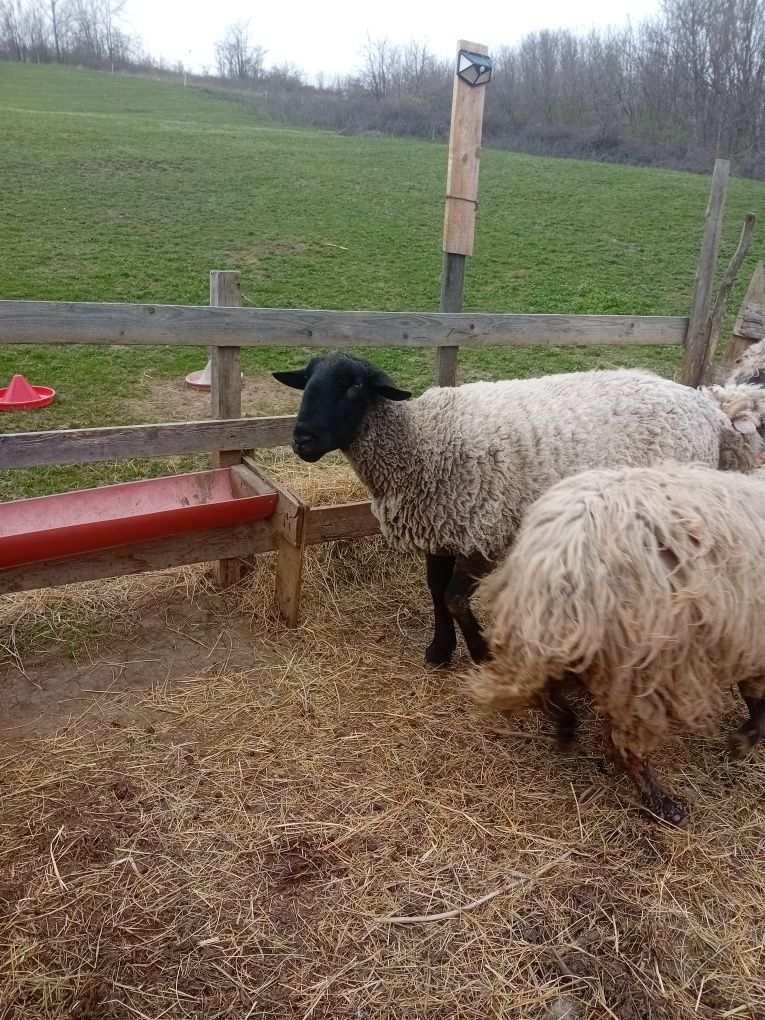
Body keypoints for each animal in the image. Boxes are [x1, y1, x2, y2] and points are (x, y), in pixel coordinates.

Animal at [467, 463, 765, 828]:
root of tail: (563, 549)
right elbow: (757, 697)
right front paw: (745, 741)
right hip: (639, 665)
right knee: (627, 745)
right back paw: (663, 803)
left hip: (559, 638)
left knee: (546, 690)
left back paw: (566, 727)